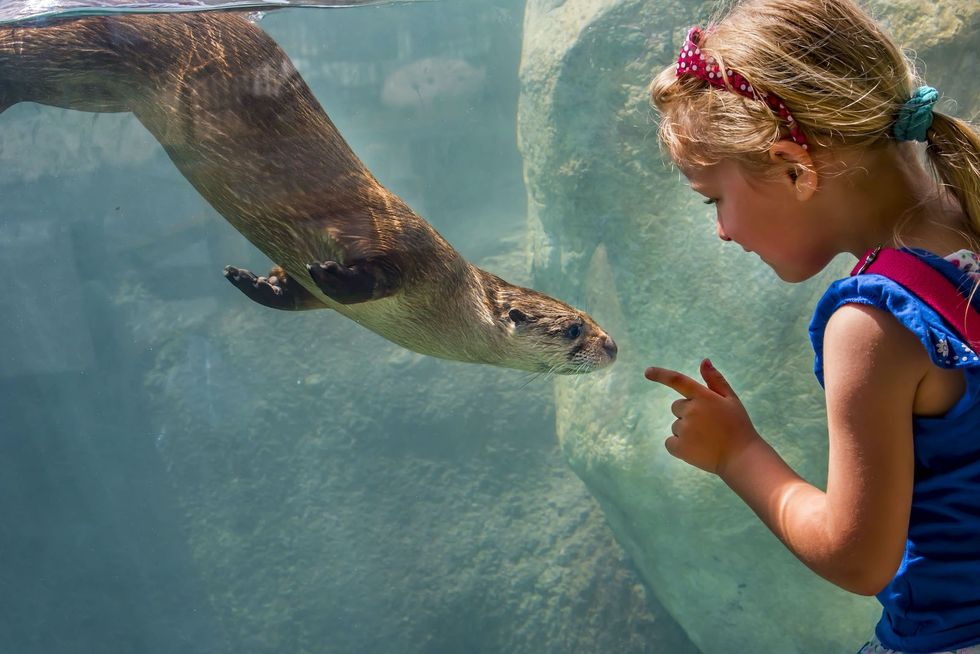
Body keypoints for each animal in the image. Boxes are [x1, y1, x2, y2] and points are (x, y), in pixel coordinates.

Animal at [0, 12, 616, 374]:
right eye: (575, 327)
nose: (613, 346)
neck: (452, 298)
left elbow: (296, 294)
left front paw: (253, 282)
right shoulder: (406, 249)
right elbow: (372, 271)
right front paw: (329, 272)